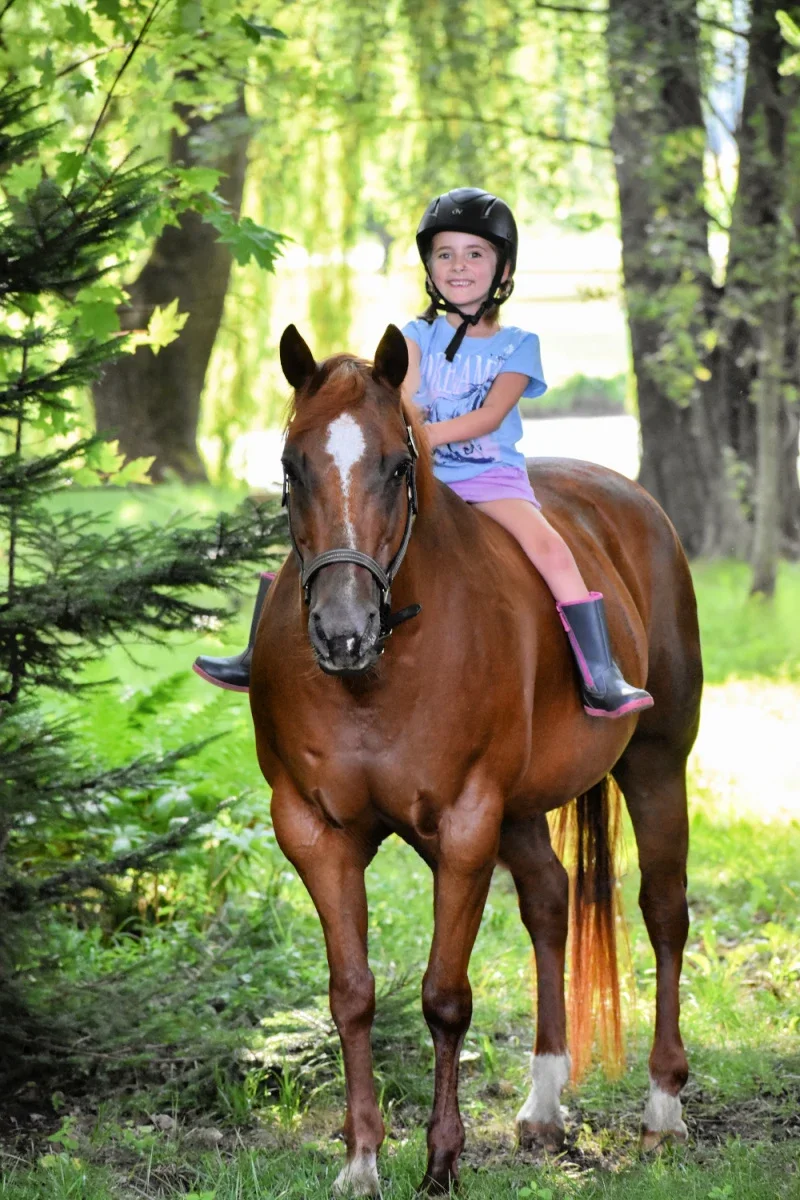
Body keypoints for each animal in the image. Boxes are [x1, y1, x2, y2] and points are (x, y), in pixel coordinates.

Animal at [249, 324, 703, 1195]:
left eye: (398, 465)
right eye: (291, 465)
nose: (343, 631)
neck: (380, 674)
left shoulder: (464, 826)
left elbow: (445, 997)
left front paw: (441, 1161)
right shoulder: (314, 831)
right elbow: (351, 994)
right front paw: (361, 1160)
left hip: (657, 766)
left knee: (664, 912)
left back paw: (663, 1107)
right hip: (521, 812)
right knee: (551, 904)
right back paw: (545, 1103)